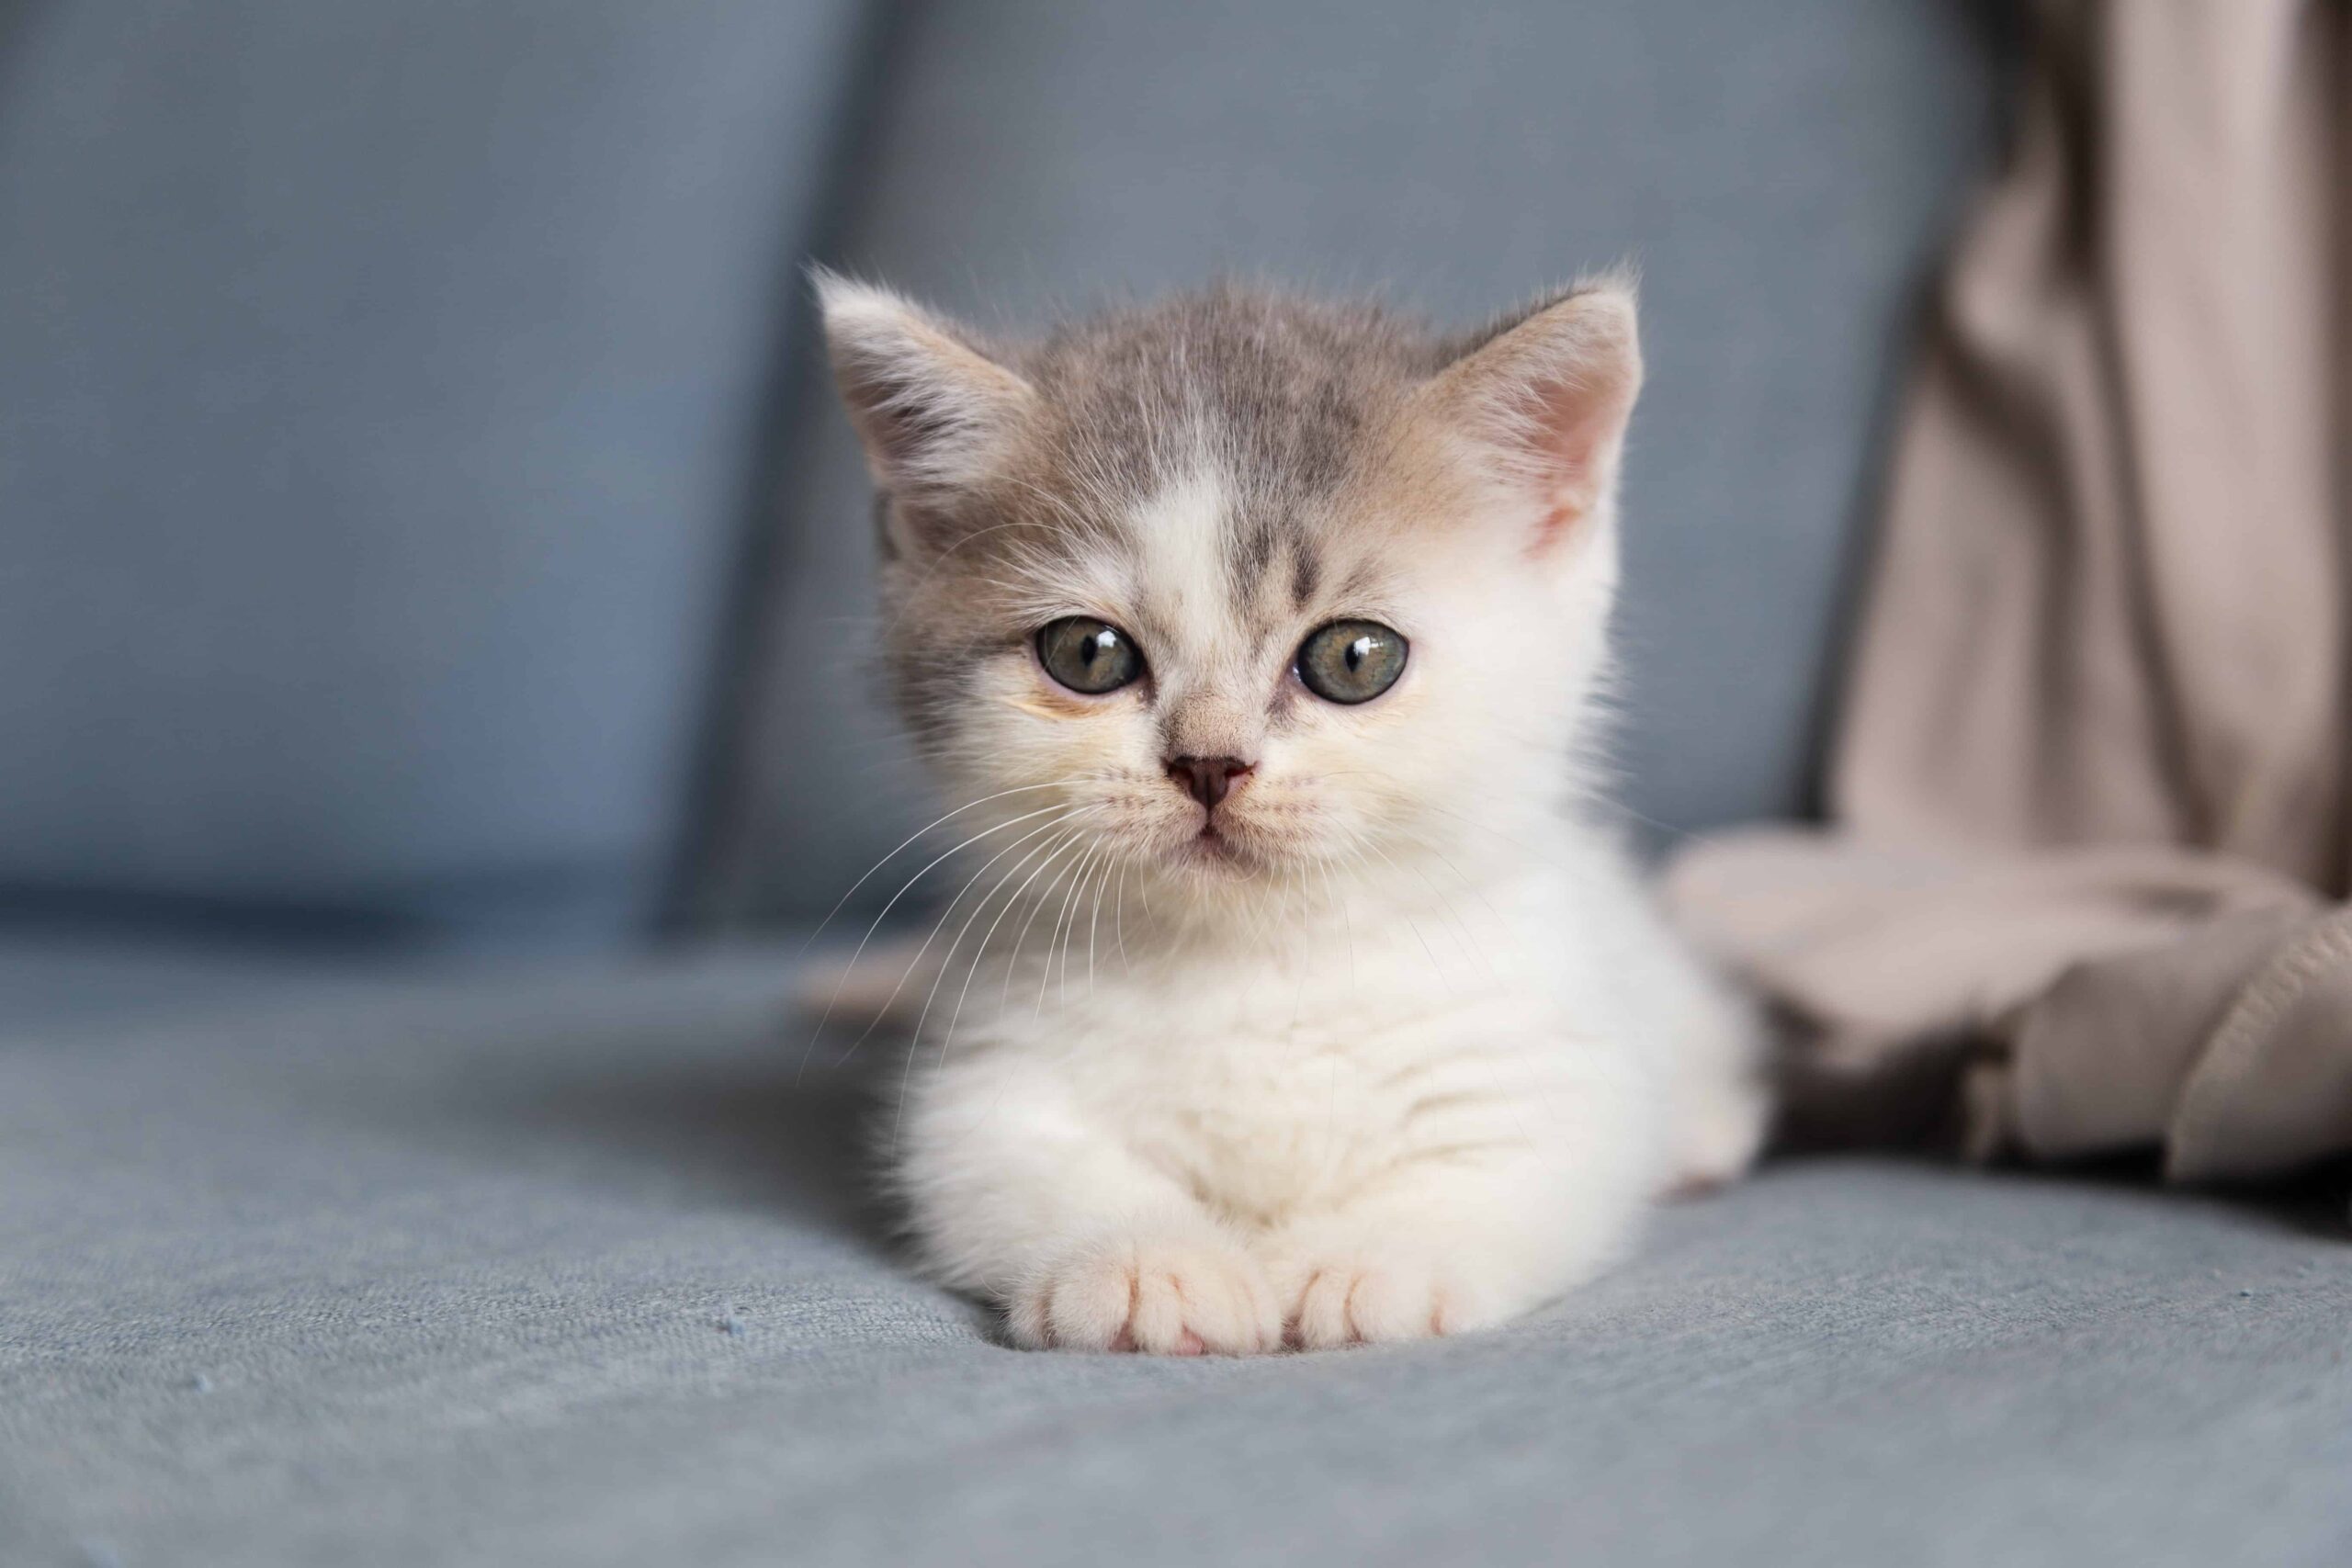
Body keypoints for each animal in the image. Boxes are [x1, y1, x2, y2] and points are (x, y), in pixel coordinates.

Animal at [818, 270, 1758, 1354]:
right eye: (1087, 654)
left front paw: (1375, 1262)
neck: (1255, 961)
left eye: (1354, 657)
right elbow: (1020, 1167)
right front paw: (1147, 1266)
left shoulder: (1547, 1068)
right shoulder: (987, 1085)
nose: (1209, 763)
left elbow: (1506, 1164)